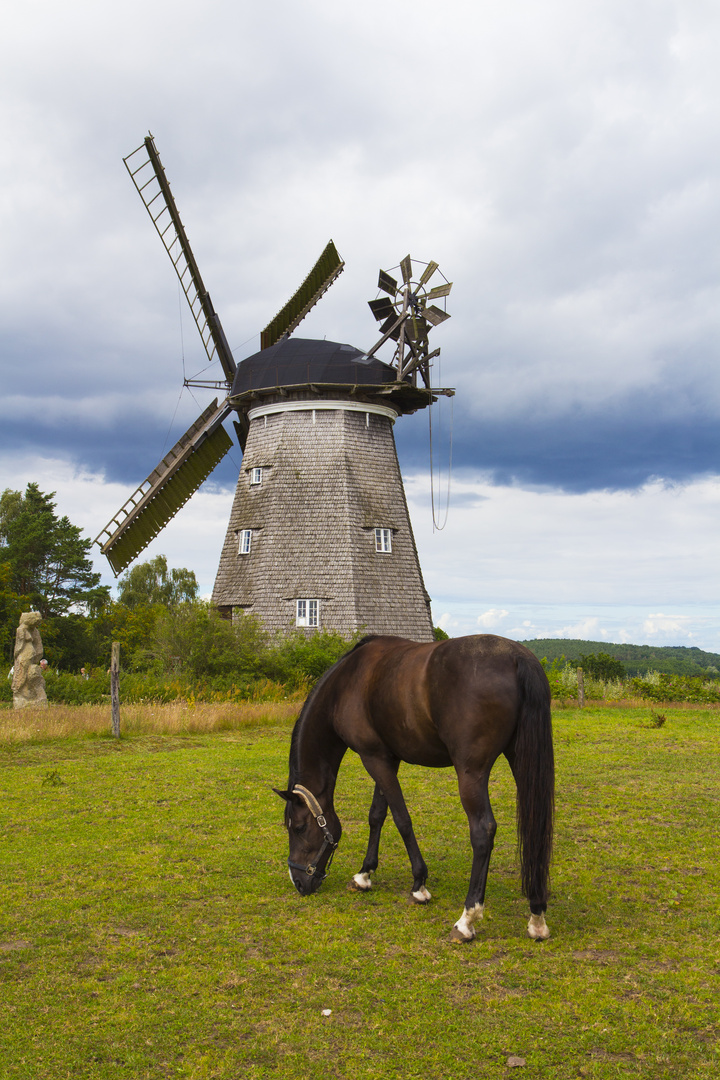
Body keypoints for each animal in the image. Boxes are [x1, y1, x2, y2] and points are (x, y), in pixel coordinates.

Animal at [273, 630, 557, 937]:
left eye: (298, 828)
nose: (299, 883)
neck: (346, 683)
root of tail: (517, 657)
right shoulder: (386, 758)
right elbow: (377, 815)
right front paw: (364, 874)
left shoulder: (373, 758)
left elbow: (401, 819)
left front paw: (419, 885)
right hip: (520, 759)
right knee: (535, 822)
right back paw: (537, 915)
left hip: (471, 773)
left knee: (483, 831)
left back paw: (467, 918)